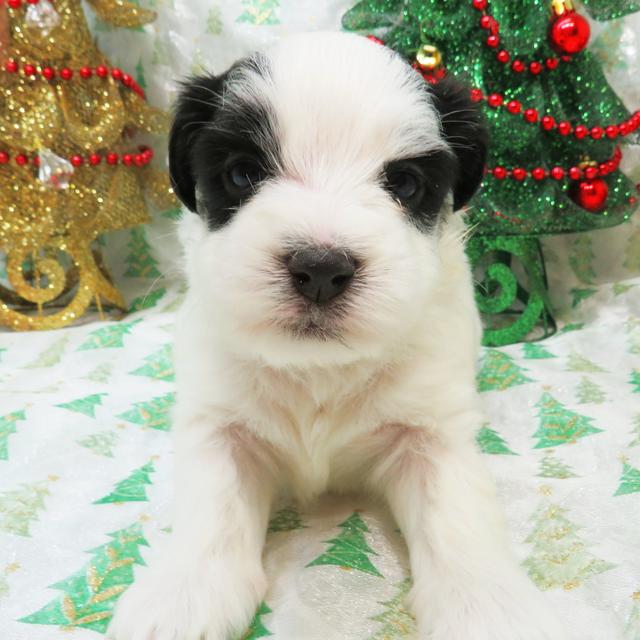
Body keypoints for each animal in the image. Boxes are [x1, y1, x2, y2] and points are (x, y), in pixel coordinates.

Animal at [109, 31, 564, 640]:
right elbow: (213, 502)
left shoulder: (431, 432)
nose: (321, 268)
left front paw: (489, 609)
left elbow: (457, 512)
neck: (318, 368)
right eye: (242, 175)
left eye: (404, 184)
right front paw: (181, 595)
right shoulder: (219, 423)